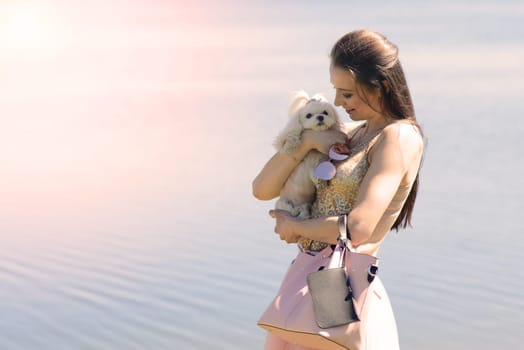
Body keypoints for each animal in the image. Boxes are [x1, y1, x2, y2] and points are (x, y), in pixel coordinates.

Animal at [274, 91, 344, 220]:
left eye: (325, 112)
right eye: (308, 115)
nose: (320, 117)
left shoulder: (320, 157)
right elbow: (290, 136)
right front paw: (290, 147)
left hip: (305, 204)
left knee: (304, 209)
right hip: (282, 202)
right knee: (289, 207)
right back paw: (295, 210)